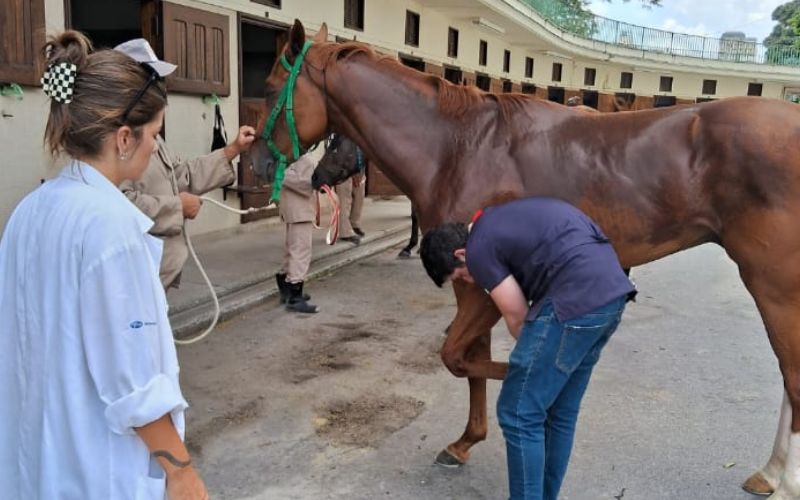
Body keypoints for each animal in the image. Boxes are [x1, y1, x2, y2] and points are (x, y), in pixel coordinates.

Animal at [253, 20, 800, 500]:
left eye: (272, 85)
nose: (254, 162)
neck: (457, 147)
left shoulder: (479, 281)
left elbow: (459, 357)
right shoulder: (475, 284)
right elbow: (468, 360)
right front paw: (465, 441)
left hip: (774, 285)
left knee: (793, 380)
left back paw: (782, 482)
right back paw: (769, 473)